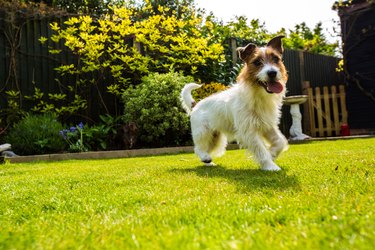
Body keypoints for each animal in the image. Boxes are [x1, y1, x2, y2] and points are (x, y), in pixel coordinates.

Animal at [181, 35, 290, 171]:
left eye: (276, 59)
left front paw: (272, 154)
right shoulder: (248, 132)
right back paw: (205, 157)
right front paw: (270, 166)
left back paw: (208, 162)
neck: (257, 95)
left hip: (215, 138)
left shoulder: (267, 126)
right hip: (203, 132)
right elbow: (261, 150)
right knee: (198, 148)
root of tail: (195, 105)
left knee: (205, 149)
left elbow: (280, 141)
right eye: (257, 62)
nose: (272, 73)